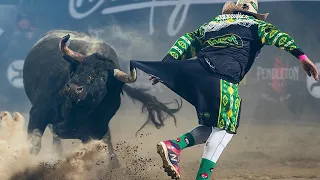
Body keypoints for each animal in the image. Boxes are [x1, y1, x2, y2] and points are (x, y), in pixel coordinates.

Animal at [23, 29, 182, 166]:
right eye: (78, 69)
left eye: (102, 78)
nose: (73, 88)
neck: (75, 111)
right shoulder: (39, 112)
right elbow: (35, 145)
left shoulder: (95, 130)